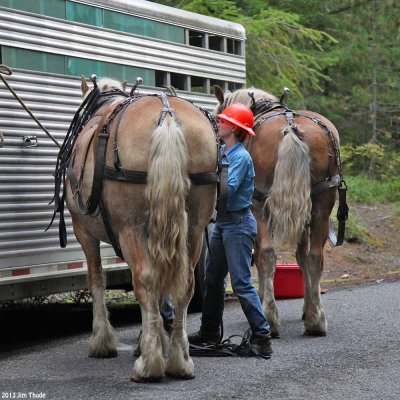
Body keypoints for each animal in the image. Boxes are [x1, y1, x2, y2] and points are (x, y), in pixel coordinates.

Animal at [51, 77, 219, 382]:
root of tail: (167, 116)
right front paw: (154, 337)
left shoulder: (85, 232)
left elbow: (96, 279)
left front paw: (103, 341)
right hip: (193, 228)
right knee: (184, 284)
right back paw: (179, 360)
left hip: (131, 228)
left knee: (146, 279)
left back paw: (150, 365)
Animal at [216, 86, 346, 336]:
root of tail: (291, 128)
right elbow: (303, 258)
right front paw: (307, 308)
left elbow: (260, 256)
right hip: (322, 203)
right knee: (315, 257)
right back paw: (316, 321)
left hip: (259, 205)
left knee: (267, 255)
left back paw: (270, 318)